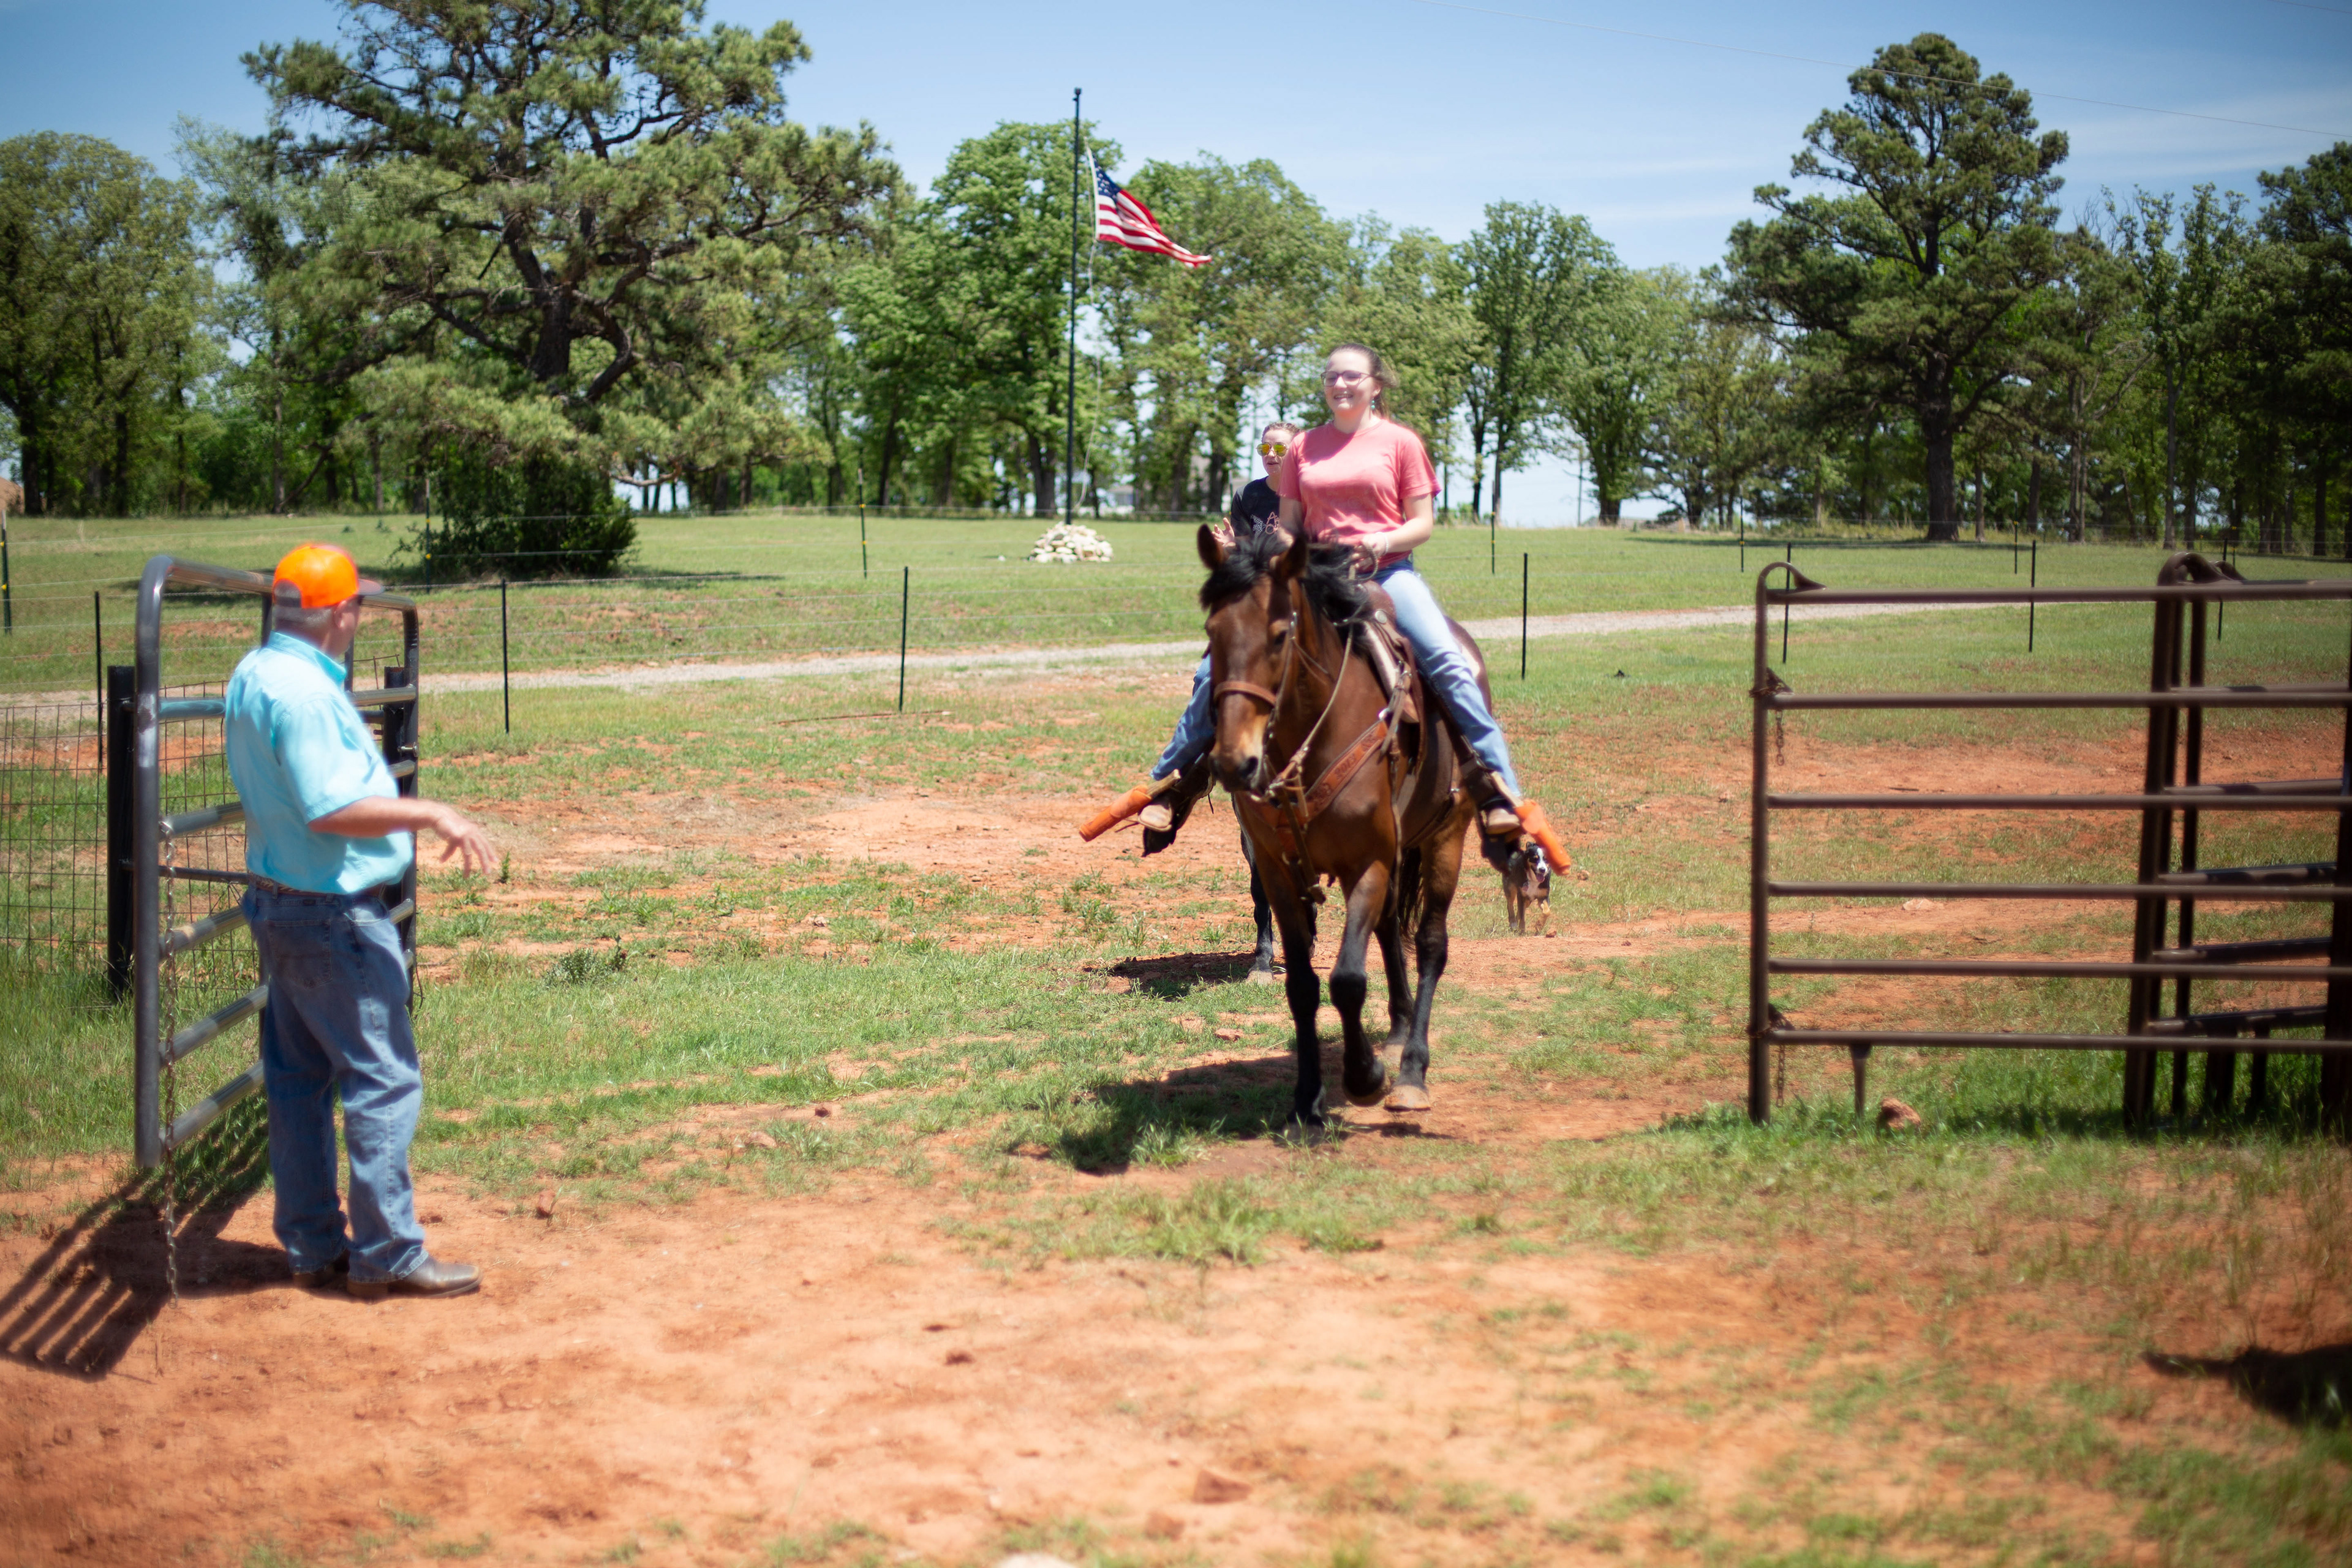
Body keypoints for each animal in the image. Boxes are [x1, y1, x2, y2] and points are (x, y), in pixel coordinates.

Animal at [1196, 525, 1486, 1129]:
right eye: (1212, 633)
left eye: (1280, 634)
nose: (1234, 761)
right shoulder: (1280, 872)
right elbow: (1303, 985)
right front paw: (1307, 1096)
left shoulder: (1367, 861)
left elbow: (1348, 979)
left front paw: (1364, 1076)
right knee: (1390, 927)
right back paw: (1397, 1026)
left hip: (1448, 835)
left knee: (1431, 943)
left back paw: (1411, 1073)